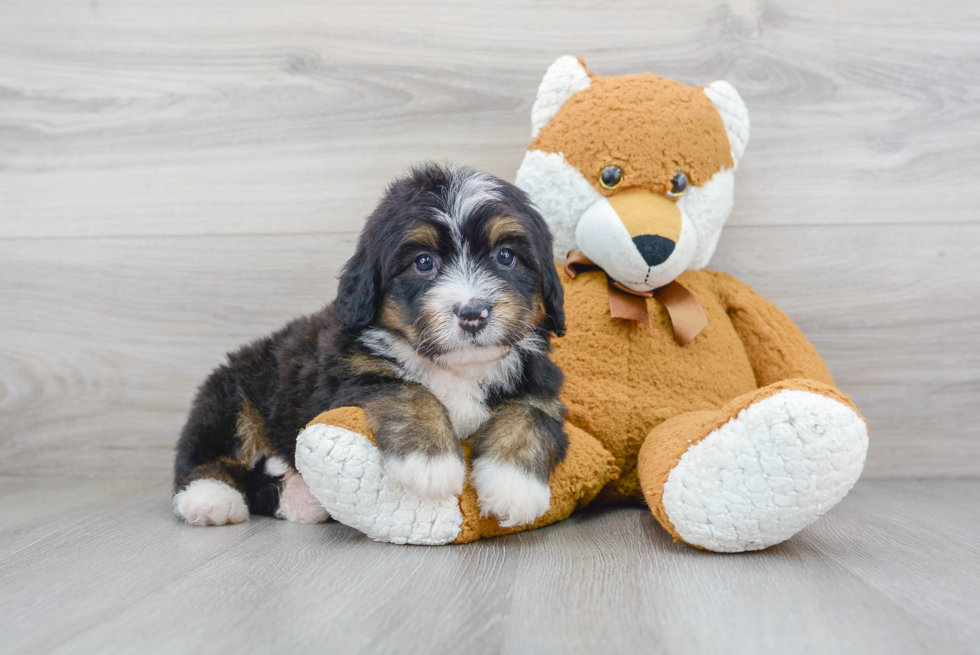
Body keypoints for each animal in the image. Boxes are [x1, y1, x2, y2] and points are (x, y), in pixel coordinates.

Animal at [174, 164, 568, 528]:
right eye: (423, 262)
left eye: (506, 256)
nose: (473, 313)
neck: (457, 367)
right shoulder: (345, 380)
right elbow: (408, 390)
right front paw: (431, 461)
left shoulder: (543, 388)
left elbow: (528, 415)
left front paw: (514, 486)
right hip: (230, 397)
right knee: (208, 455)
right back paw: (211, 499)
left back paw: (303, 499)